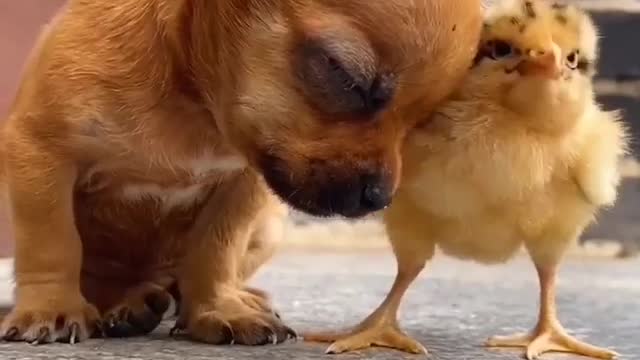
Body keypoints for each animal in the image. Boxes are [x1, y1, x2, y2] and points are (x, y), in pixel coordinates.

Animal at [0, 0, 480, 346]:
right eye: (345, 76)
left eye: (423, 121)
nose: (379, 198)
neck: (192, 104)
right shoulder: (42, 152)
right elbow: (53, 242)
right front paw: (50, 308)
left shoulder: (243, 186)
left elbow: (216, 249)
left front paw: (218, 308)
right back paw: (126, 304)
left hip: (270, 223)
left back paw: (233, 296)